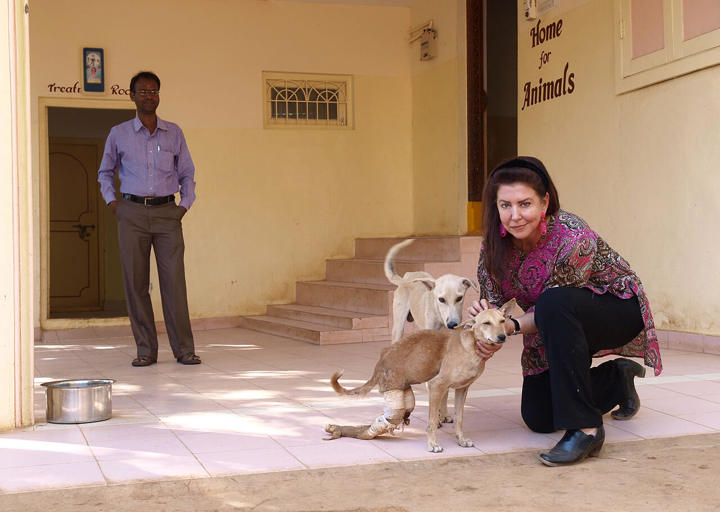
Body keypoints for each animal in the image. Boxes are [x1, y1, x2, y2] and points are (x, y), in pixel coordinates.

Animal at [324, 299, 516, 453]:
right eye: (486, 323)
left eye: (502, 321)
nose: (502, 337)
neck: (470, 347)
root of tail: (380, 363)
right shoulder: (436, 386)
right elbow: (431, 422)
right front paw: (432, 444)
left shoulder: (462, 389)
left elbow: (459, 419)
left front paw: (461, 440)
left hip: (406, 396)